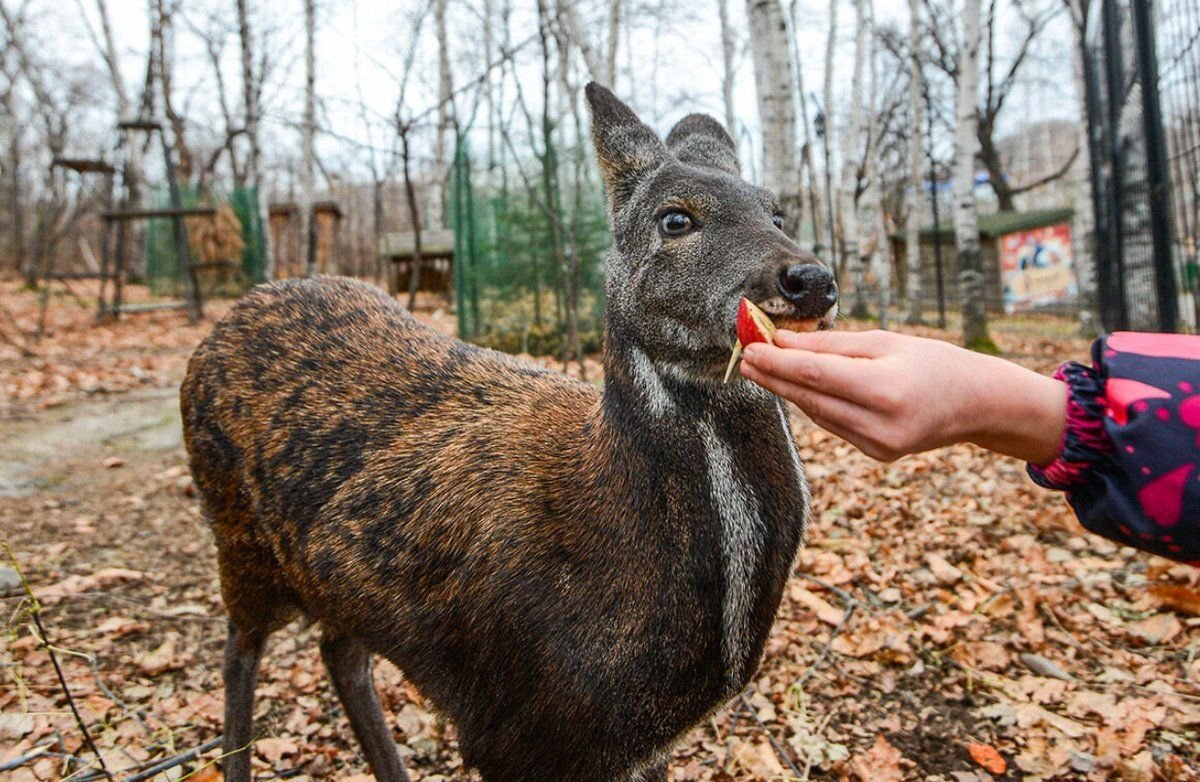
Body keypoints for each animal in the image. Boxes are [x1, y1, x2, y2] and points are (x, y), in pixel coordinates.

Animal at [182, 82, 840, 777]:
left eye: (778, 215)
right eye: (675, 218)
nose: (811, 279)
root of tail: (229, 318)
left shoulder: (633, 748)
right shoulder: (512, 733)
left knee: (339, 651)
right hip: (237, 535)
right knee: (239, 651)